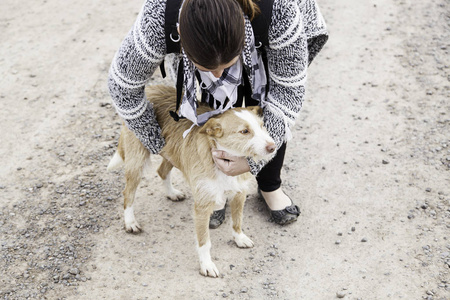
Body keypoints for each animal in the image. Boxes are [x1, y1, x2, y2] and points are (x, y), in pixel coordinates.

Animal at [107, 84, 276, 276]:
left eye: (262, 126)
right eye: (245, 131)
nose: (273, 147)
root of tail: (150, 88)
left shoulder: (239, 194)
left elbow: (237, 221)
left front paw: (239, 238)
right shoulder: (201, 206)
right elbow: (204, 242)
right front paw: (207, 265)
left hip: (171, 151)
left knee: (162, 171)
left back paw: (172, 193)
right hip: (137, 160)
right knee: (128, 193)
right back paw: (130, 222)